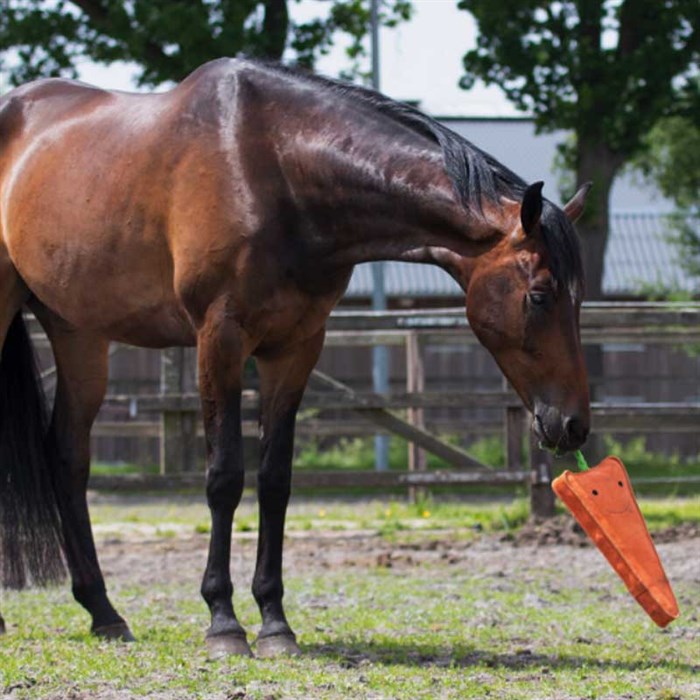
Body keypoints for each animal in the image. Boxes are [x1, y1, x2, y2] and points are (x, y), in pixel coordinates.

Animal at [0, 58, 592, 656]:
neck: (278, 171)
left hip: (78, 333)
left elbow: (275, 481)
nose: (573, 424)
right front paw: (223, 622)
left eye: (577, 297)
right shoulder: (219, 340)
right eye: (540, 295)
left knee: (68, 458)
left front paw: (274, 622)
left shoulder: (296, 346)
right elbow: (224, 477)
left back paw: (104, 613)